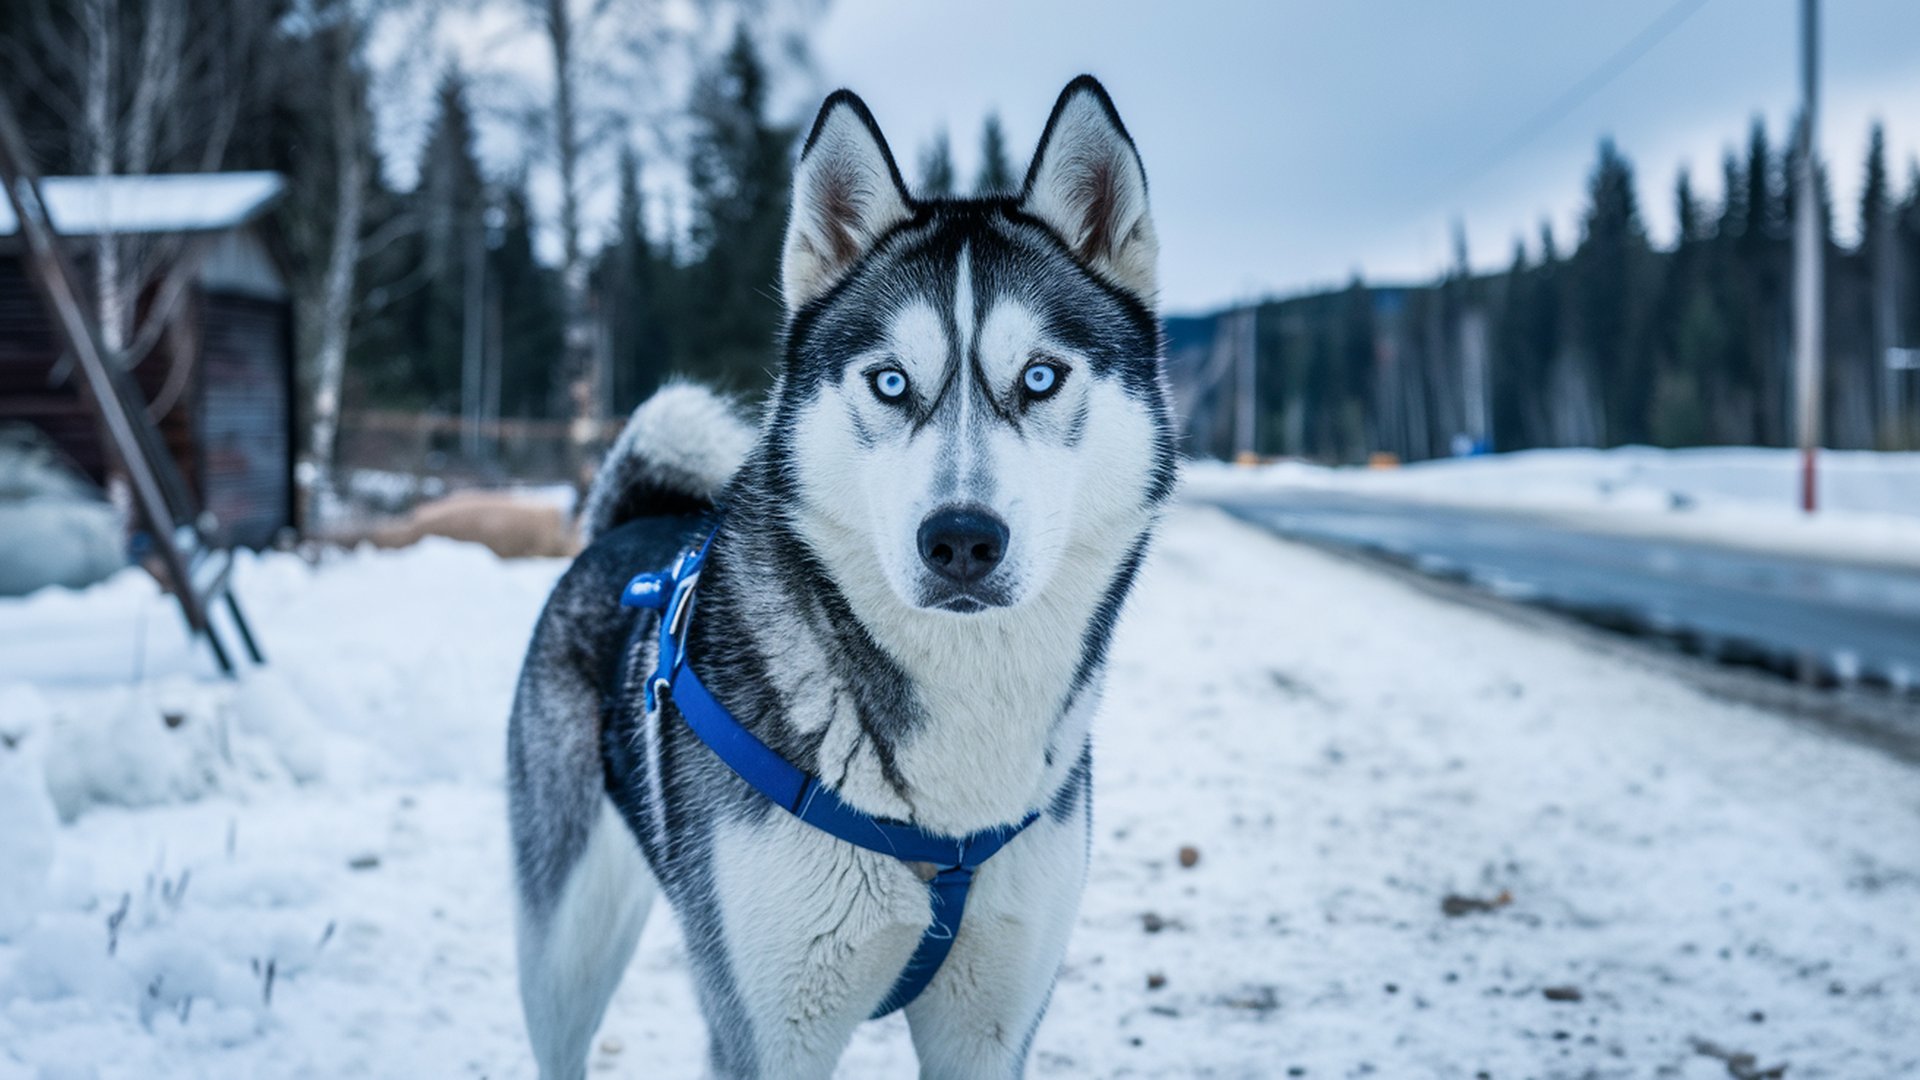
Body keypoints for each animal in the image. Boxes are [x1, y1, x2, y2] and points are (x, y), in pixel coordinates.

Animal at [503, 75, 1175, 1076]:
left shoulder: (989, 1027)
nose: (962, 541)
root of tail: (635, 519)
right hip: (565, 954)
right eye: (891, 382)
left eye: (1041, 377)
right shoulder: (766, 1030)